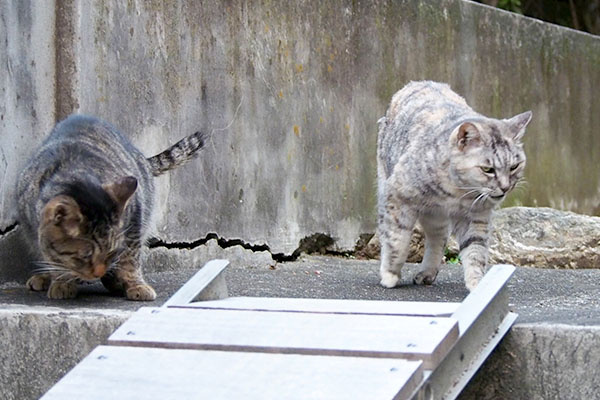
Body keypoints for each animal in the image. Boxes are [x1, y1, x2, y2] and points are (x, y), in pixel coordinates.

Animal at [17, 115, 209, 300]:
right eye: (86, 255)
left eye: (111, 252)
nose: (98, 273)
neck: (76, 174)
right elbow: (53, 257)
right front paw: (62, 282)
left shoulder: (134, 219)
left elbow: (131, 259)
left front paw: (136, 285)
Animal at [378, 81, 532, 292]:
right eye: (488, 169)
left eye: (514, 166)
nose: (505, 187)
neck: (456, 192)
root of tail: (418, 82)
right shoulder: (398, 197)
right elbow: (397, 241)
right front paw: (390, 274)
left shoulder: (476, 217)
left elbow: (475, 251)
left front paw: (478, 285)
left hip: (434, 215)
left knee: (438, 238)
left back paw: (427, 272)